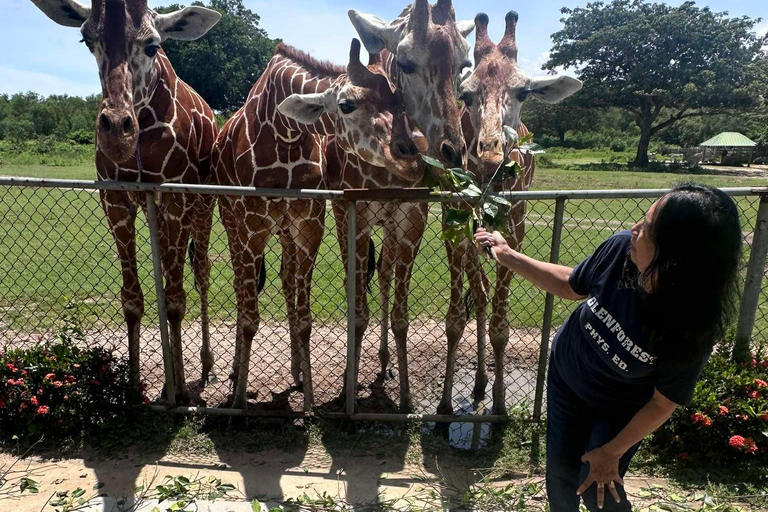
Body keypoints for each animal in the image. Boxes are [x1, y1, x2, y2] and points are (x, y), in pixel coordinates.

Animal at [29, 0, 220, 404]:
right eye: (87, 40)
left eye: (152, 45)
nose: (117, 133)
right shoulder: (115, 198)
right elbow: (133, 299)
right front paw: (134, 389)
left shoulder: (176, 197)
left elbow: (176, 298)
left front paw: (180, 391)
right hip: (156, 212)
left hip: (203, 204)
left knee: (202, 271)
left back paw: (207, 367)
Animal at [213, 39, 424, 408]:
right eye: (346, 104)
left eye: (399, 101)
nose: (411, 161)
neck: (283, 134)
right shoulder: (253, 224)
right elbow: (251, 317)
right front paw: (239, 401)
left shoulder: (310, 222)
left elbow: (305, 319)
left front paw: (310, 400)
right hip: (231, 221)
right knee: (242, 288)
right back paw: (237, 374)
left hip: (285, 231)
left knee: (286, 279)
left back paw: (297, 372)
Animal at [438, 10, 584, 414]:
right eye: (465, 94)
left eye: (523, 92)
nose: (491, 161)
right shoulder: (454, 226)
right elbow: (456, 318)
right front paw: (444, 405)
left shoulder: (514, 231)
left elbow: (501, 325)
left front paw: (501, 404)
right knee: (479, 294)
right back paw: (477, 384)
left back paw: (483, 385)